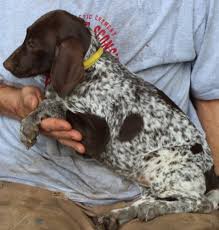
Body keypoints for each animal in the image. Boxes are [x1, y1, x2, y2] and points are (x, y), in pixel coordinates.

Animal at [3, 9, 219, 230]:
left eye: (32, 43)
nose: (5, 64)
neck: (89, 71)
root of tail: (211, 174)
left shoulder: (95, 138)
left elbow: (55, 105)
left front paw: (29, 125)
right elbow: (49, 102)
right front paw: (32, 118)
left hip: (166, 166)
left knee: (200, 202)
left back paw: (154, 209)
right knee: (148, 199)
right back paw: (119, 215)